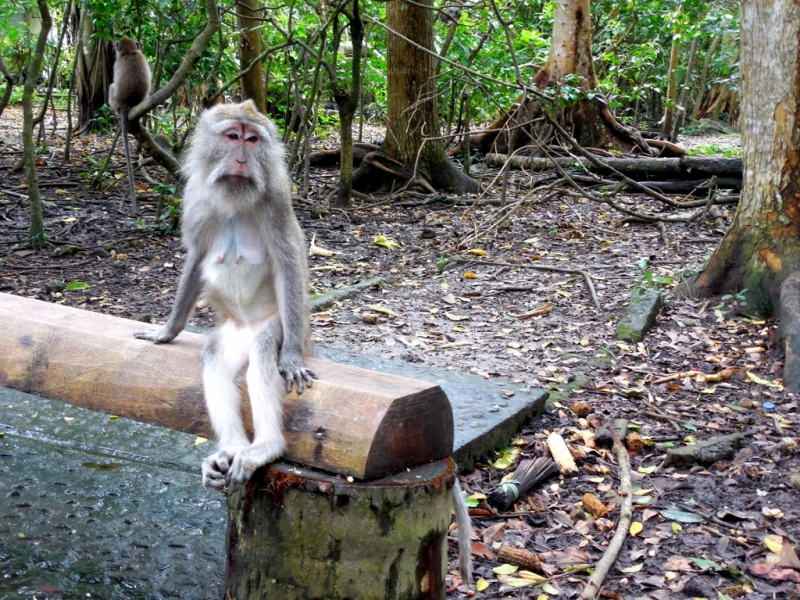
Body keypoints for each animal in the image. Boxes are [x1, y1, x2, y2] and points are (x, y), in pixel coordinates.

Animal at [134, 99, 316, 492]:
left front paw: (292, 358)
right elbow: (197, 256)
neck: (235, 199)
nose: (242, 158)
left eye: (252, 139)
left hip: (273, 325)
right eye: (233, 136)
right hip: (229, 335)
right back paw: (230, 448)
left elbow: (289, 265)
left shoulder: (277, 201)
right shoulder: (195, 199)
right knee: (215, 360)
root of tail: (245, 331)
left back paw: (265, 447)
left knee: (262, 353)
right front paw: (165, 331)